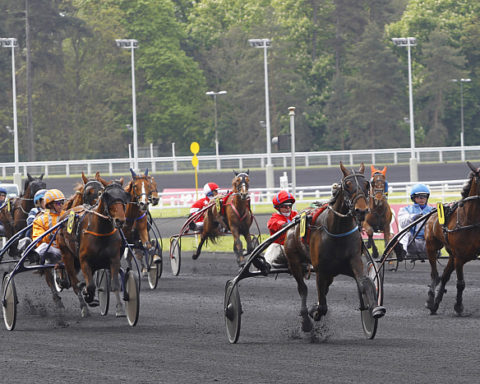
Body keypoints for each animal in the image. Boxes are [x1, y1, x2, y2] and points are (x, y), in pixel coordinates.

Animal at [55, 182, 130, 316]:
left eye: (124, 197)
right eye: (106, 196)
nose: (120, 220)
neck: (101, 231)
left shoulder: (114, 259)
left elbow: (115, 284)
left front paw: (120, 309)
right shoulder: (84, 260)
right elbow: (90, 285)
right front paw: (87, 295)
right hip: (67, 255)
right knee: (75, 284)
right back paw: (84, 307)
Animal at [284, 161, 384, 330]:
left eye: (366, 184)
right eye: (347, 185)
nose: (361, 210)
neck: (337, 230)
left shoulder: (354, 260)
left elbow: (365, 282)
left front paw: (375, 309)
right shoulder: (320, 269)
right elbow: (322, 302)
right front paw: (315, 312)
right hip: (294, 261)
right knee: (302, 288)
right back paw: (306, 320)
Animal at [426, 161, 480, 316]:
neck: (470, 219)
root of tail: (432, 214)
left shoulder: (459, 255)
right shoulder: (460, 256)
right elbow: (460, 283)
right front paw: (459, 306)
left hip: (452, 255)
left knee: (444, 276)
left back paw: (436, 303)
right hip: (431, 247)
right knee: (435, 274)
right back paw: (431, 300)